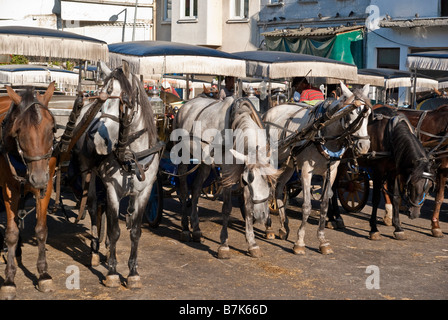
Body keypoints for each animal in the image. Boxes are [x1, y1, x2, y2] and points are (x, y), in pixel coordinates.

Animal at [0, 83, 56, 300]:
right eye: (18, 131)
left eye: (52, 129)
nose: (38, 178)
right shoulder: (9, 189)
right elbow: (11, 232)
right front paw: (9, 279)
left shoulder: (45, 187)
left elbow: (41, 230)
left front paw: (43, 274)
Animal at [172, 96, 280, 258]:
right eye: (247, 181)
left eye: (269, 182)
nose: (261, 216)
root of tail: (186, 105)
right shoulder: (228, 171)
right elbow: (227, 208)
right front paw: (224, 245)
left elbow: (248, 207)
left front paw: (252, 243)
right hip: (183, 157)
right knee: (184, 190)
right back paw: (185, 228)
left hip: (205, 163)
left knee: (196, 189)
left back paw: (196, 229)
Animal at [262, 82, 372, 255]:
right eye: (351, 112)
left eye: (368, 115)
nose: (364, 146)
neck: (324, 133)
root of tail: (269, 112)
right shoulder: (306, 171)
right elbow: (306, 206)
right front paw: (299, 242)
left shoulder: (331, 172)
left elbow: (325, 204)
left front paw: (322, 241)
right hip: (271, 159)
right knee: (268, 189)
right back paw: (268, 228)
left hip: (289, 164)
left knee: (279, 188)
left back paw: (283, 226)